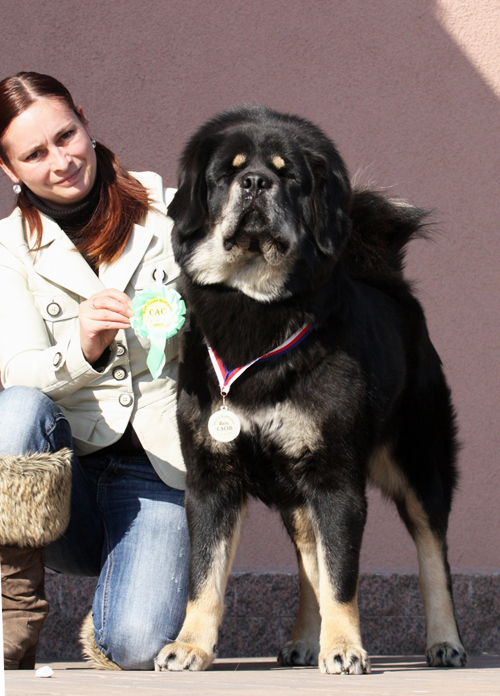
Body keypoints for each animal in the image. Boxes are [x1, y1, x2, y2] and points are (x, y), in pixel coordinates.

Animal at [154, 107, 466, 676]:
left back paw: (444, 642)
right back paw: (304, 640)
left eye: (289, 175)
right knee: (308, 564)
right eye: (228, 172)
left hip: (420, 467)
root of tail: (392, 287)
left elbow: (342, 577)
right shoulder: (212, 481)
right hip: (296, 494)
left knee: (434, 557)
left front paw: (344, 648)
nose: (256, 182)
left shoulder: (335, 482)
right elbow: (205, 575)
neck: (256, 312)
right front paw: (190, 646)